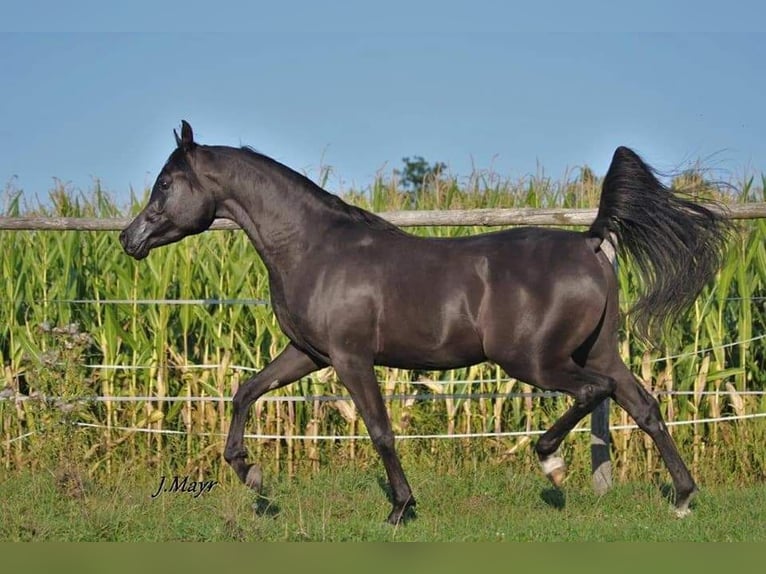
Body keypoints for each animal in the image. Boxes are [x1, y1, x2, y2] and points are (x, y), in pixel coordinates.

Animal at [120, 121, 731, 524]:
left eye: (166, 183)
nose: (130, 239)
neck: (314, 248)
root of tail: (589, 243)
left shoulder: (350, 358)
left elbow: (380, 428)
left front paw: (400, 508)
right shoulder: (308, 354)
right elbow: (245, 390)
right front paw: (250, 473)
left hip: (535, 360)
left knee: (593, 392)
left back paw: (551, 462)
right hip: (598, 349)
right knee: (643, 405)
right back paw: (683, 498)